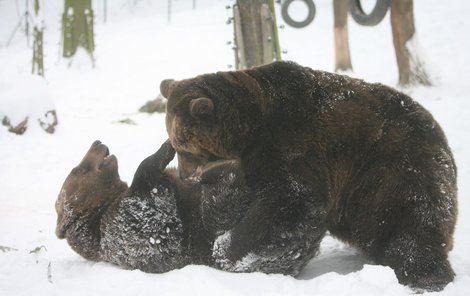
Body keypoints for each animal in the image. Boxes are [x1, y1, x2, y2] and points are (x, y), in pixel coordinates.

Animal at [162, 60, 458, 292]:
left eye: (185, 149)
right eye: (176, 146)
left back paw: (424, 274)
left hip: (392, 168)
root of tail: (442, 139)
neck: (247, 129)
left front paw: (228, 250)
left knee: (411, 222)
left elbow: (291, 200)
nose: (187, 177)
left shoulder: (293, 144)